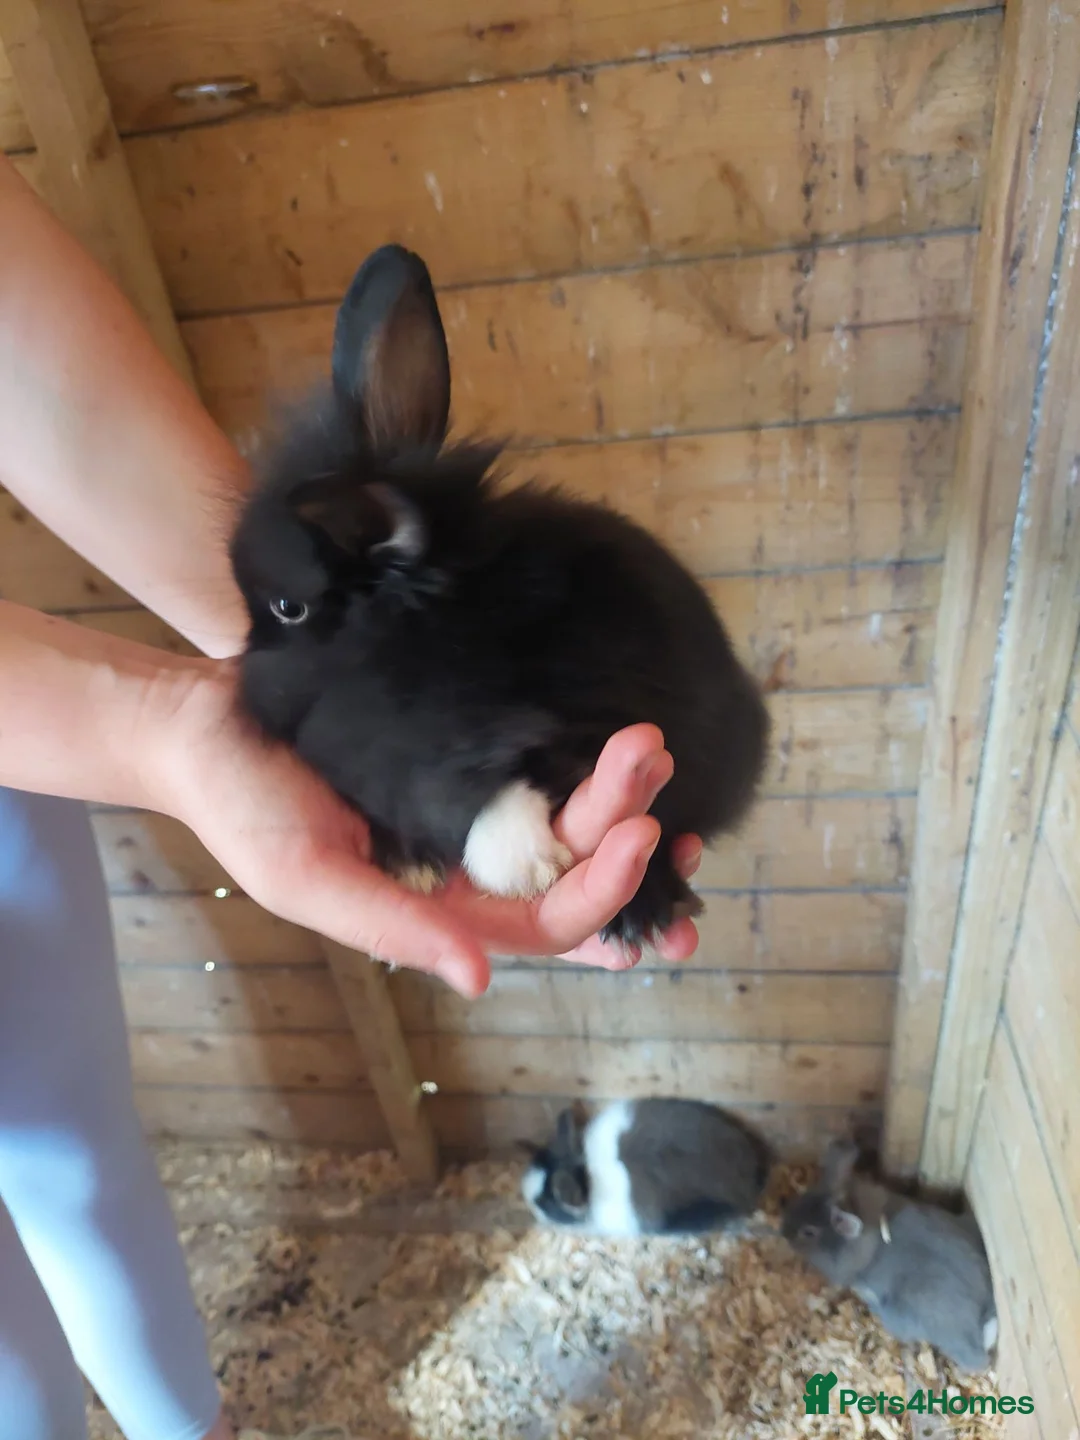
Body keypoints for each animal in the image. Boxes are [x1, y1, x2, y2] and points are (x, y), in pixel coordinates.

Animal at [229, 242, 770, 947]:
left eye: (286, 609)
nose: (246, 685)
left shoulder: (595, 712)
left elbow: (516, 773)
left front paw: (519, 866)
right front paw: (412, 863)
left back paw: (642, 912)